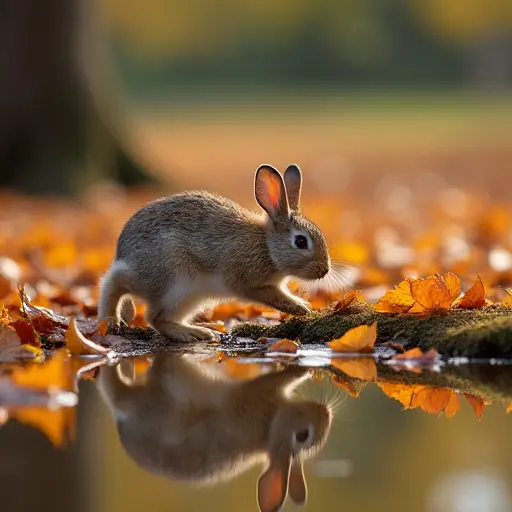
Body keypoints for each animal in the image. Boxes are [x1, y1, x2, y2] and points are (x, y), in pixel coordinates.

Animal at [97, 354, 332, 512]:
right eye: (302, 435)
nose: (326, 412)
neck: (269, 429)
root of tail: (121, 416)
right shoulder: (255, 397)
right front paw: (303, 369)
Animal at [98, 162, 334, 342]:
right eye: (301, 241)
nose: (324, 270)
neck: (266, 246)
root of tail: (123, 253)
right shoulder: (246, 280)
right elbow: (270, 294)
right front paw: (300, 307)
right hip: (174, 281)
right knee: (124, 291)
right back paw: (114, 320)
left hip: (189, 297)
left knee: (160, 317)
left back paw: (199, 332)